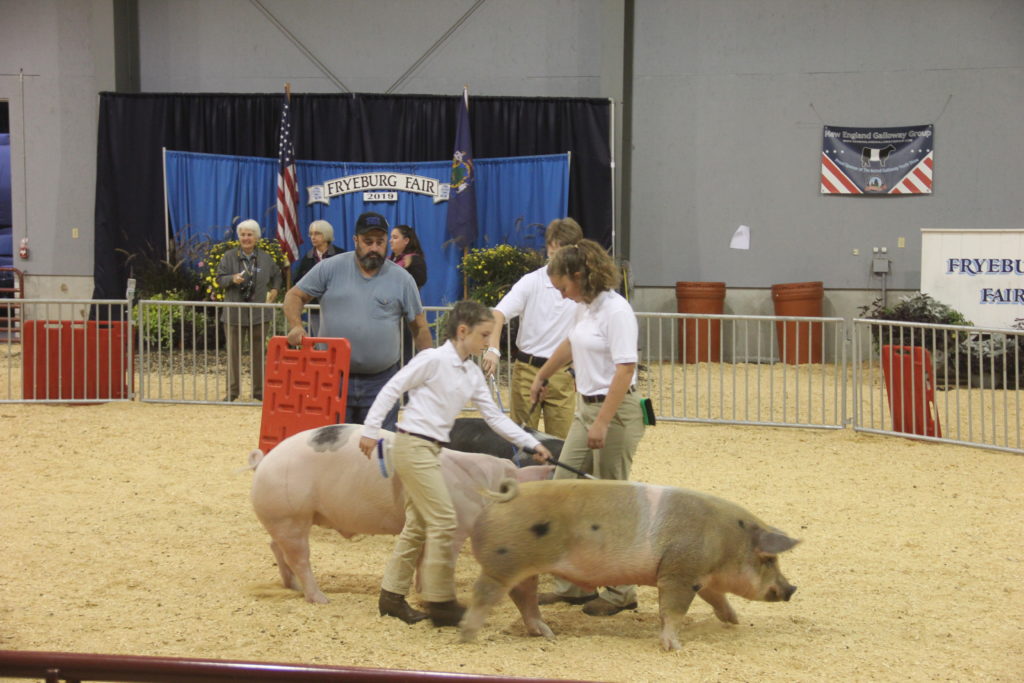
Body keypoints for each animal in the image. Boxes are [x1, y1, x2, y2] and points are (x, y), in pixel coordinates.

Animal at [458, 479, 798, 655]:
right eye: (769, 559)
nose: (791, 588)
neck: (725, 540)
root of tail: (498, 501)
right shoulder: (679, 573)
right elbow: (673, 611)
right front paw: (676, 648)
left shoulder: (700, 577)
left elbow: (718, 599)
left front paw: (735, 621)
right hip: (502, 564)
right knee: (485, 595)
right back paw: (468, 637)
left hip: (525, 570)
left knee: (523, 598)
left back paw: (547, 635)